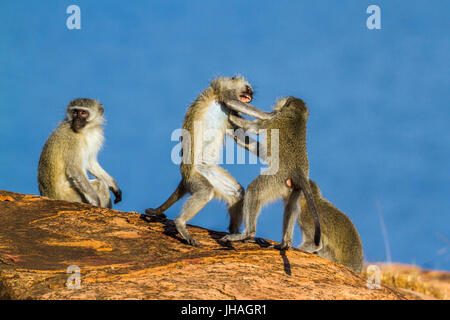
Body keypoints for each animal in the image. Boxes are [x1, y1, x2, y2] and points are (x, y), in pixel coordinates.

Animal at [145, 76, 274, 246]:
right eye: (248, 89)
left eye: (251, 93)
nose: (249, 97)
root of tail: (184, 178)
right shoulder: (225, 88)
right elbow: (231, 101)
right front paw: (270, 115)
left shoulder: (232, 114)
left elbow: (239, 134)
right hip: (195, 177)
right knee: (205, 191)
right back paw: (180, 224)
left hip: (209, 172)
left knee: (236, 193)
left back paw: (237, 234)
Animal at [221, 96, 320, 251]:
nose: (277, 106)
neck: (297, 115)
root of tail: (299, 172)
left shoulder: (273, 120)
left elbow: (253, 128)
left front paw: (231, 114)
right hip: (295, 188)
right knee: (291, 206)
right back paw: (285, 243)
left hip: (277, 178)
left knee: (254, 190)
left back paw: (248, 233)